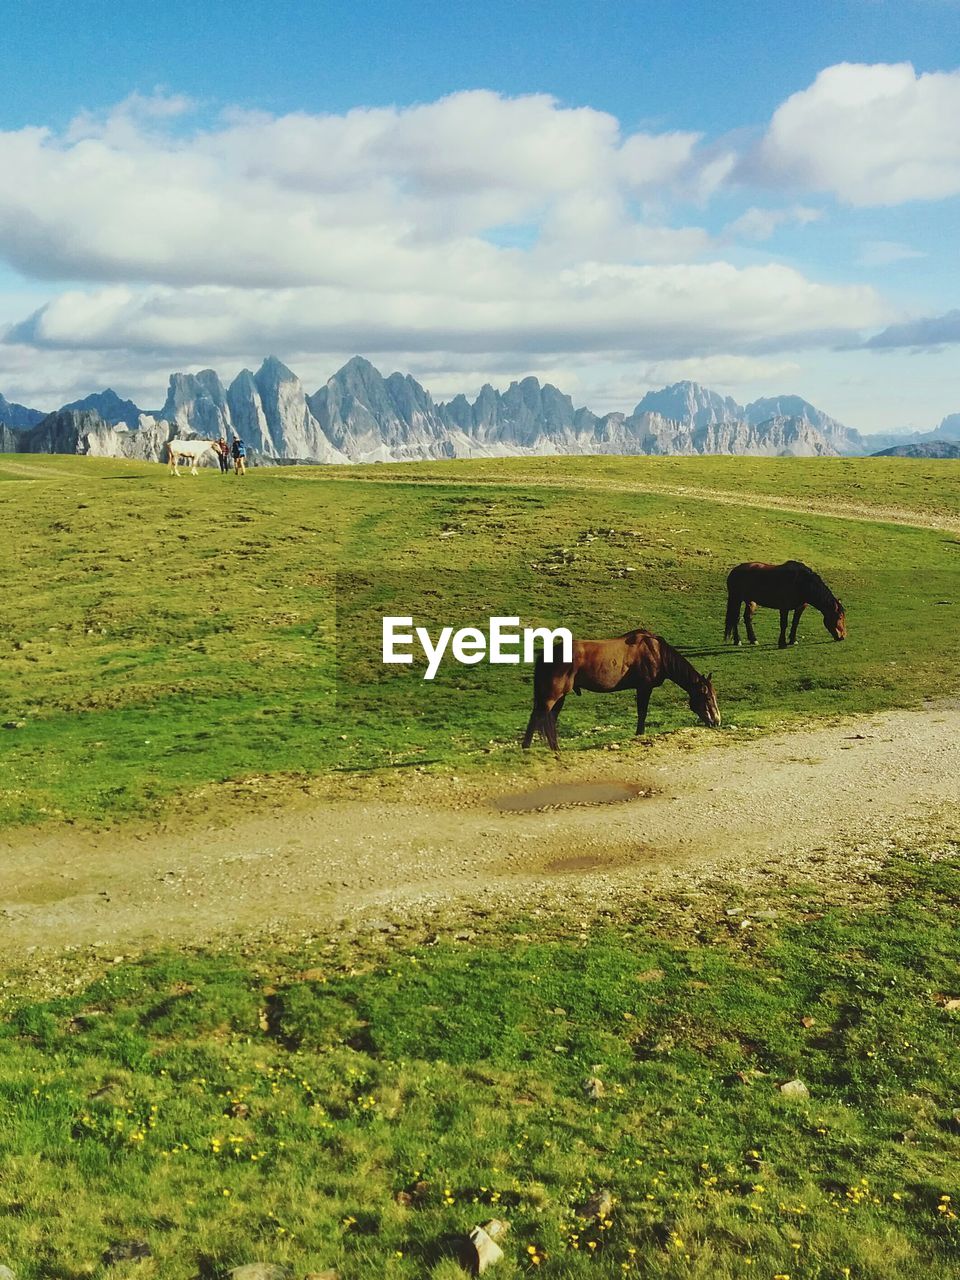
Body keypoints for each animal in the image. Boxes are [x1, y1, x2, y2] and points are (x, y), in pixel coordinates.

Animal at [527, 629, 721, 747]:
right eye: (708, 698)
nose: (717, 721)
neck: (657, 652)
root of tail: (547, 653)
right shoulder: (644, 687)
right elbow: (642, 712)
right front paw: (639, 734)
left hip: (560, 696)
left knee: (548, 719)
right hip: (552, 695)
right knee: (538, 717)